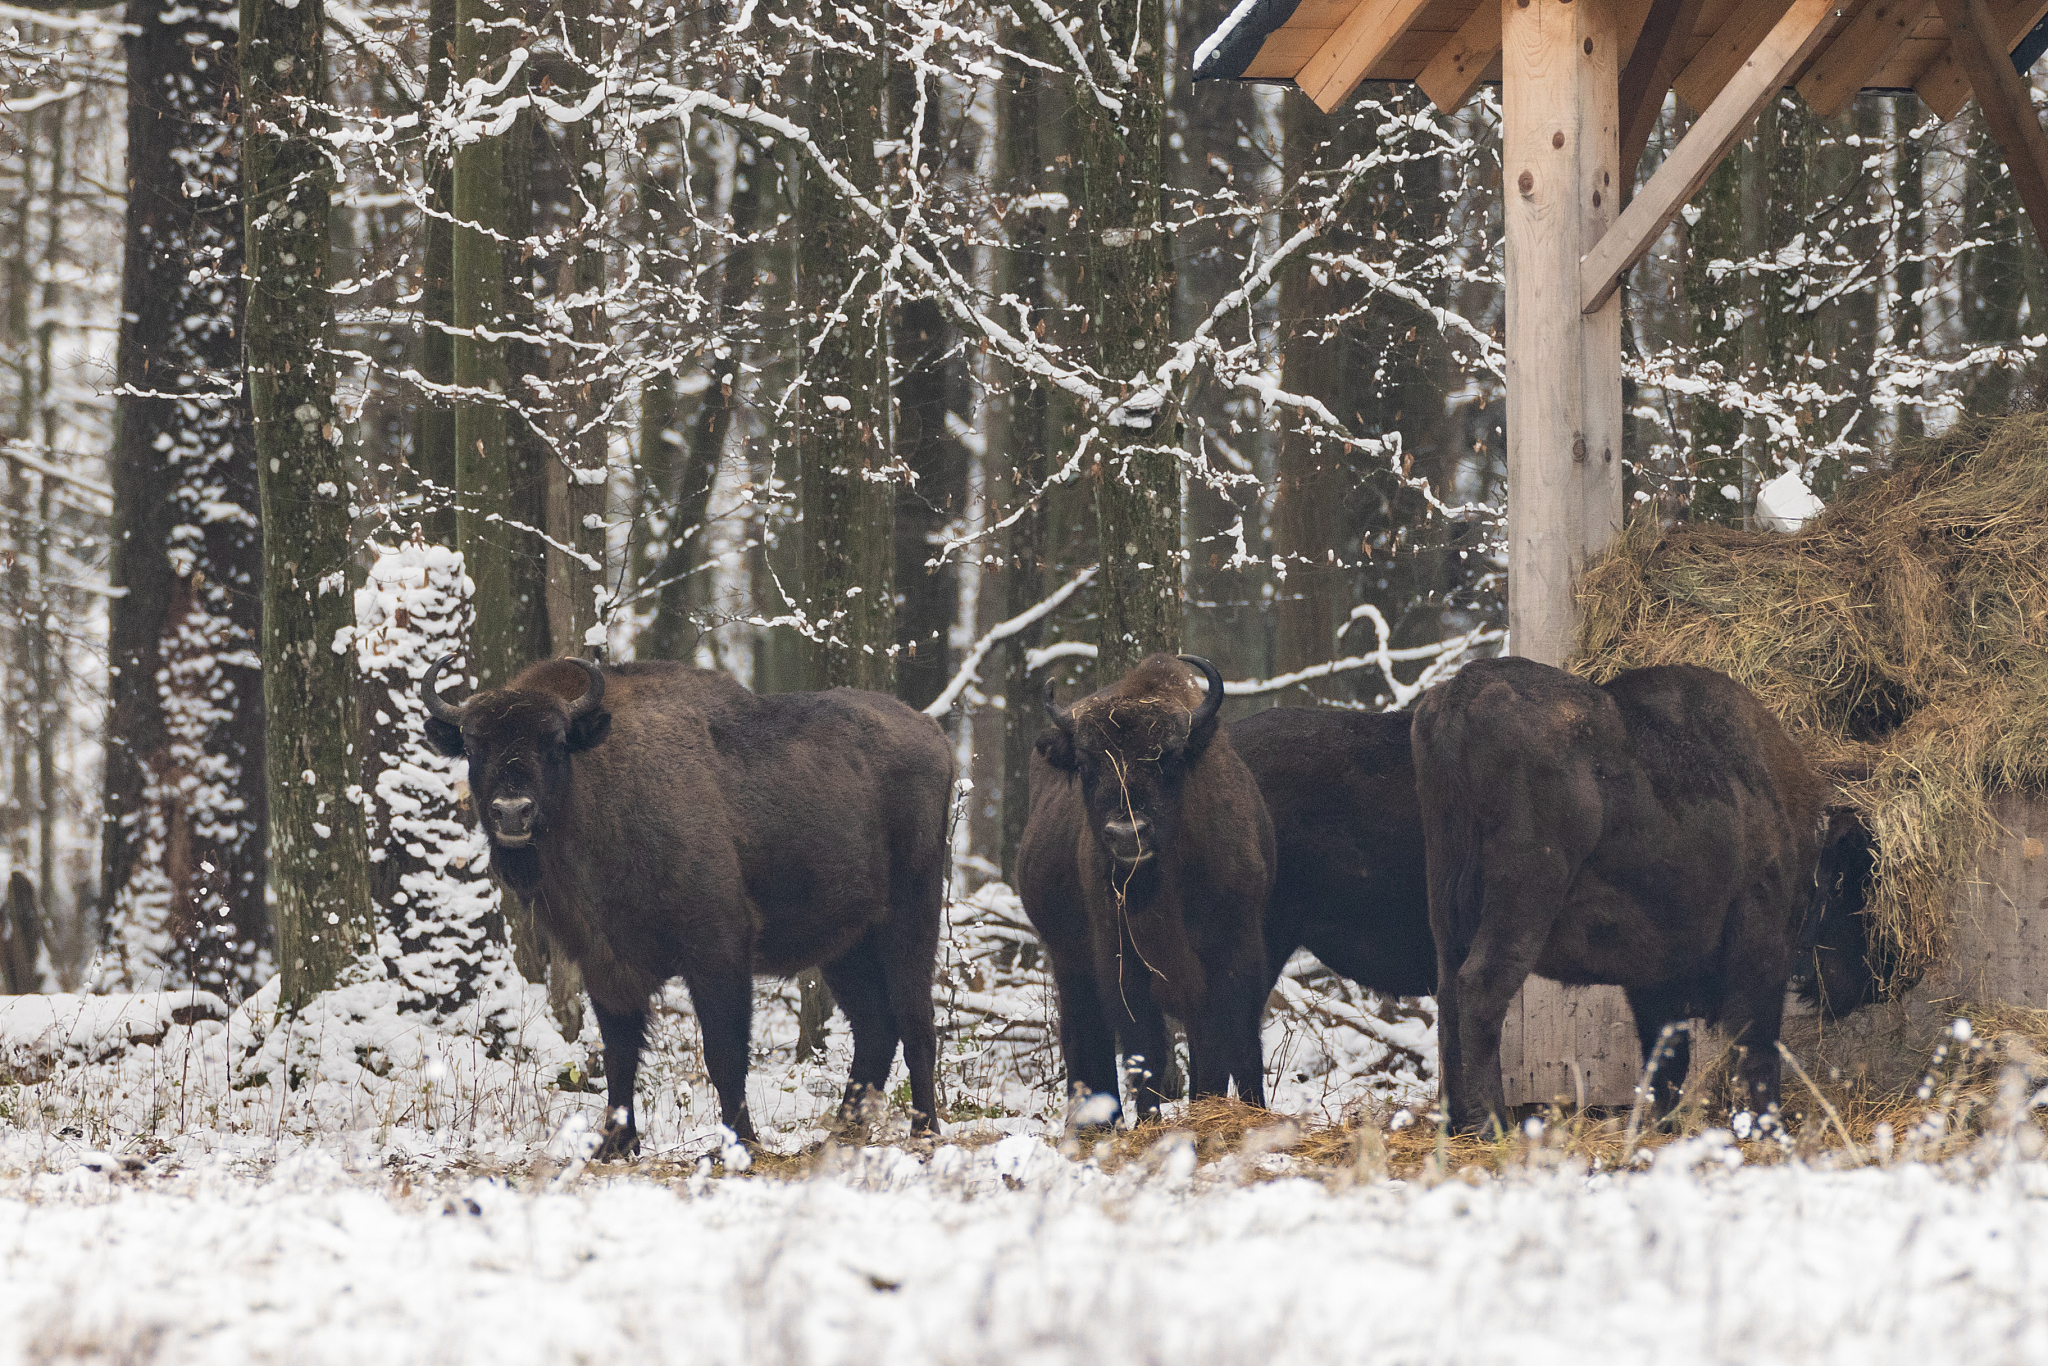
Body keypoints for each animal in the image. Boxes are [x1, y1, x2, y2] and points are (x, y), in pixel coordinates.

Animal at [421, 656, 953, 1156]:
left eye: (552, 741)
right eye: (473, 745)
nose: (512, 812)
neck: (595, 784)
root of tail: (934, 735)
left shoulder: (717, 952)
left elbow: (723, 1053)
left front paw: (739, 1144)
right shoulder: (605, 964)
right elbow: (619, 1055)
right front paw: (614, 1146)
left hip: (911, 919)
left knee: (916, 1022)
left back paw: (924, 1131)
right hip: (845, 947)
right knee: (875, 1027)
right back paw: (841, 1135)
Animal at [1016, 654, 1276, 1120]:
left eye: (1168, 758)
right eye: (1086, 764)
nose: (1127, 834)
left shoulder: (1234, 952)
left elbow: (1231, 1044)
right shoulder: (1122, 965)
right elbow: (1145, 1051)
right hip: (1069, 961)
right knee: (1084, 1036)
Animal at [1412, 656, 1849, 1133]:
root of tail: (1463, 693)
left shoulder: (1656, 978)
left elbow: (1667, 1057)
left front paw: (1665, 1126)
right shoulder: (1761, 944)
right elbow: (1757, 1047)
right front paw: (1770, 1126)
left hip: (1446, 904)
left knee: (1448, 997)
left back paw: (1454, 1124)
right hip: (1524, 897)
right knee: (1481, 989)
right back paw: (1493, 1127)